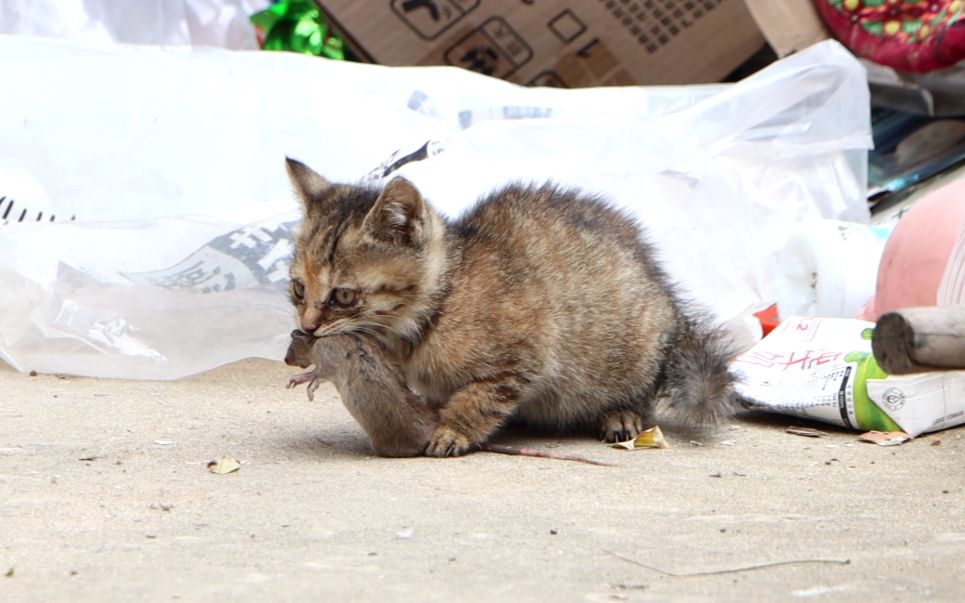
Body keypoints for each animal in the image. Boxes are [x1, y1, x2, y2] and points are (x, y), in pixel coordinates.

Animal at [282, 158, 736, 456]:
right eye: (299, 289)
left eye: (343, 296)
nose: (308, 327)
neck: (442, 300)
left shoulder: (527, 353)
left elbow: (480, 396)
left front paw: (453, 429)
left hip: (638, 341)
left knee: (642, 393)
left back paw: (620, 414)